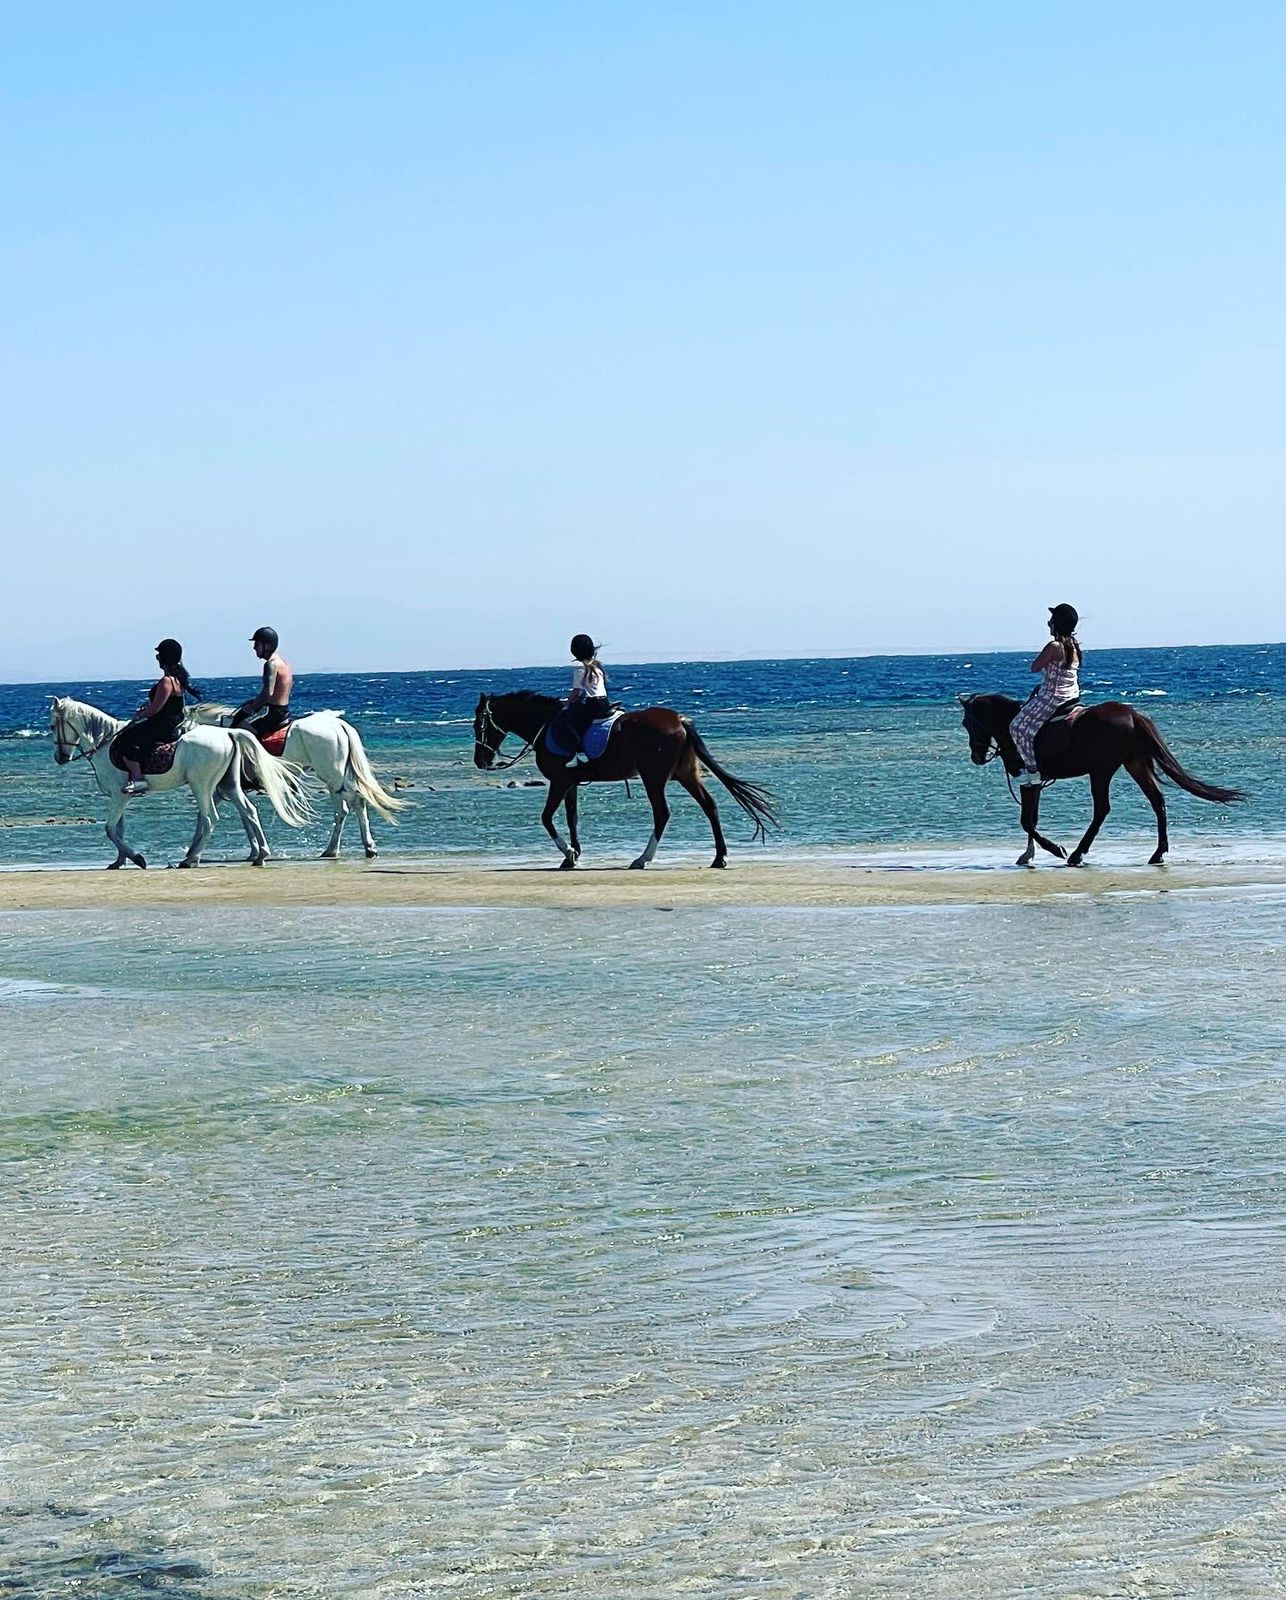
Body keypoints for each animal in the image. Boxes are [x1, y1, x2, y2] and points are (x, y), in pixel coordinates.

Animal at [50, 696, 314, 869]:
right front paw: (119, 861)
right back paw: (260, 855)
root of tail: (228, 733)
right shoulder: (120, 796)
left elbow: (110, 829)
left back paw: (190, 859)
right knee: (248, 811)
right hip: (228, 784)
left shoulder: (119, 794)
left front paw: (137, 859)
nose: (60, 758)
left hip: (202, 786)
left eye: (53, 726)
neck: (105, 742)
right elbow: (118, 829)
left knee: (210, 818)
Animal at [190, 706, 408, 858]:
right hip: (334, 779)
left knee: (354, 803)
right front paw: (254, 851)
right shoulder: (228, 790)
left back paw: (365, 848)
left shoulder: (223, 790)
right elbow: (242, 817)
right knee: (344, 809)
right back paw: (333, 850)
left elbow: (212, 816)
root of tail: (339, 725)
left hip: (332, 775)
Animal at [473, 690, 779, 869]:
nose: (481, 761)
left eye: (480, 724)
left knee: (662, 813)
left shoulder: (559, 781)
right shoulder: (569, 783)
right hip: (685, 774)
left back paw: (643, 859)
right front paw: (572, 855)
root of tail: (679, 720)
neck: (547, 726)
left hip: (653, 777)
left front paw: (569, 853)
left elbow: (547, 818)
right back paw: (719, 858)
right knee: (710, 806)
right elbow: (572, 818)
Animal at [959, 692, 1245, 867]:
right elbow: (1032, 819)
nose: (976, 756)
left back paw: (1076, 854)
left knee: (1102, 809)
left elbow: (1027, 821)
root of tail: (1131, 714)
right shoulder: (1034, 781)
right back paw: (1158, 853)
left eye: (966, 723)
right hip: (1135, 764)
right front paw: (1028, 855)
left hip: (1101, 770)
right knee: (1157, 801)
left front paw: (1054, 849)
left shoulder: (1028, 777)